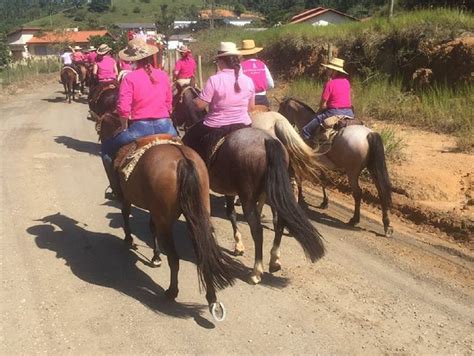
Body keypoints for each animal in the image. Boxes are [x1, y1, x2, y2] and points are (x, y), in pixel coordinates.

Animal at [95, 112, 241, 322]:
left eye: (99, 128)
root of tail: (183, 160)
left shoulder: (129, 199)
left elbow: (127, 215)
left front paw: (130, 240)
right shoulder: (155, 210)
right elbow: (150, 227)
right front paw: (155, 256)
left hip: (166, 219)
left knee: (174, 258)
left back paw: (171, 292)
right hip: (198, 214)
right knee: (202, 252)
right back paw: (211, 298)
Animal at [174, 91, 326, 284]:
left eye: (176, 100)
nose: (173, 117)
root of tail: (269, 139)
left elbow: (227, 214)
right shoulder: (230, 189)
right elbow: (230, 213)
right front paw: (238, 244)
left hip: (249, 196)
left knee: (257, 229)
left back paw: (256, 271)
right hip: (273, 191)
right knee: (279, 222)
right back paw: (274, 260)